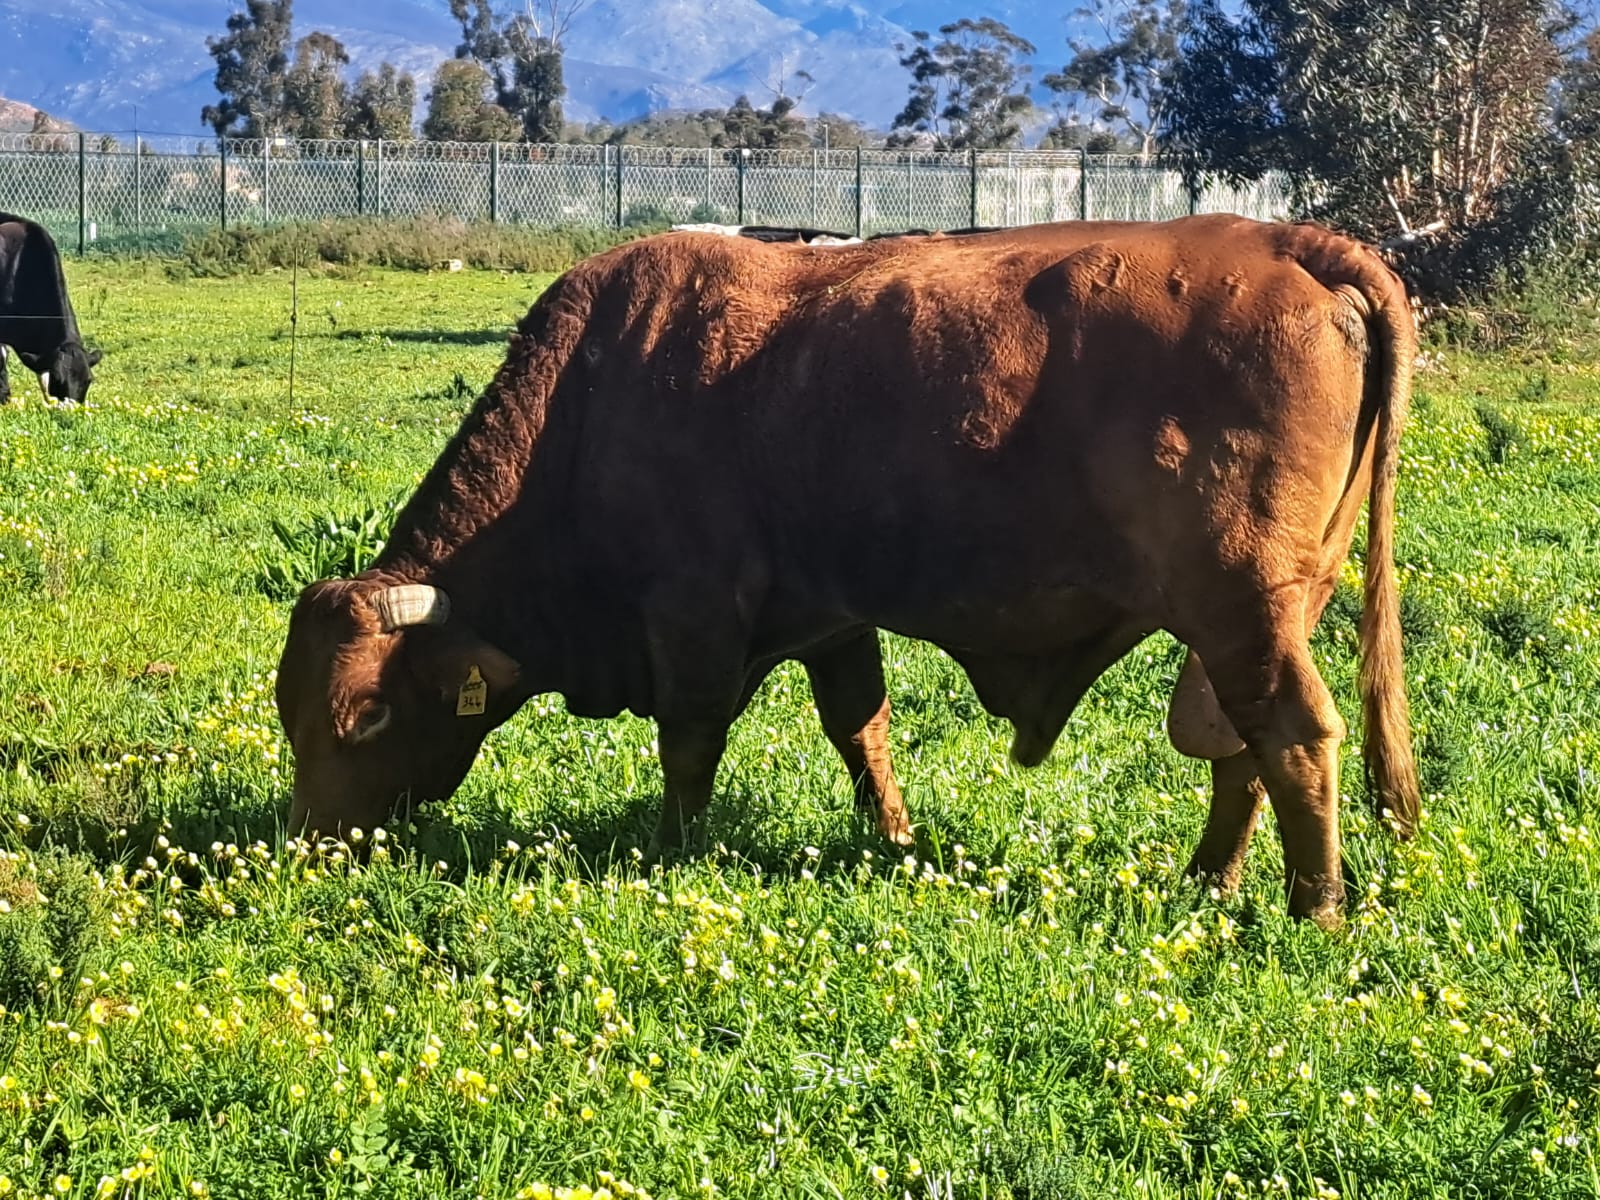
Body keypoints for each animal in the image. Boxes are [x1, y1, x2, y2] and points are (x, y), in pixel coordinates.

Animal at [275, 214, 1421, 928]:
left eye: (366, 718)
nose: (307, 848)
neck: (593, 398)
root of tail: (1289, 243)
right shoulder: (832, 618)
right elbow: (858, 728)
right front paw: (896, 840)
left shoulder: (691, 615)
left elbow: (690, 745)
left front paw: (671, 848)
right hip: (1263, 613)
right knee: (1237, 744)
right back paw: (1208, 880)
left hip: (1241, 609)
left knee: (1292, 734)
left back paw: (1314, 907)